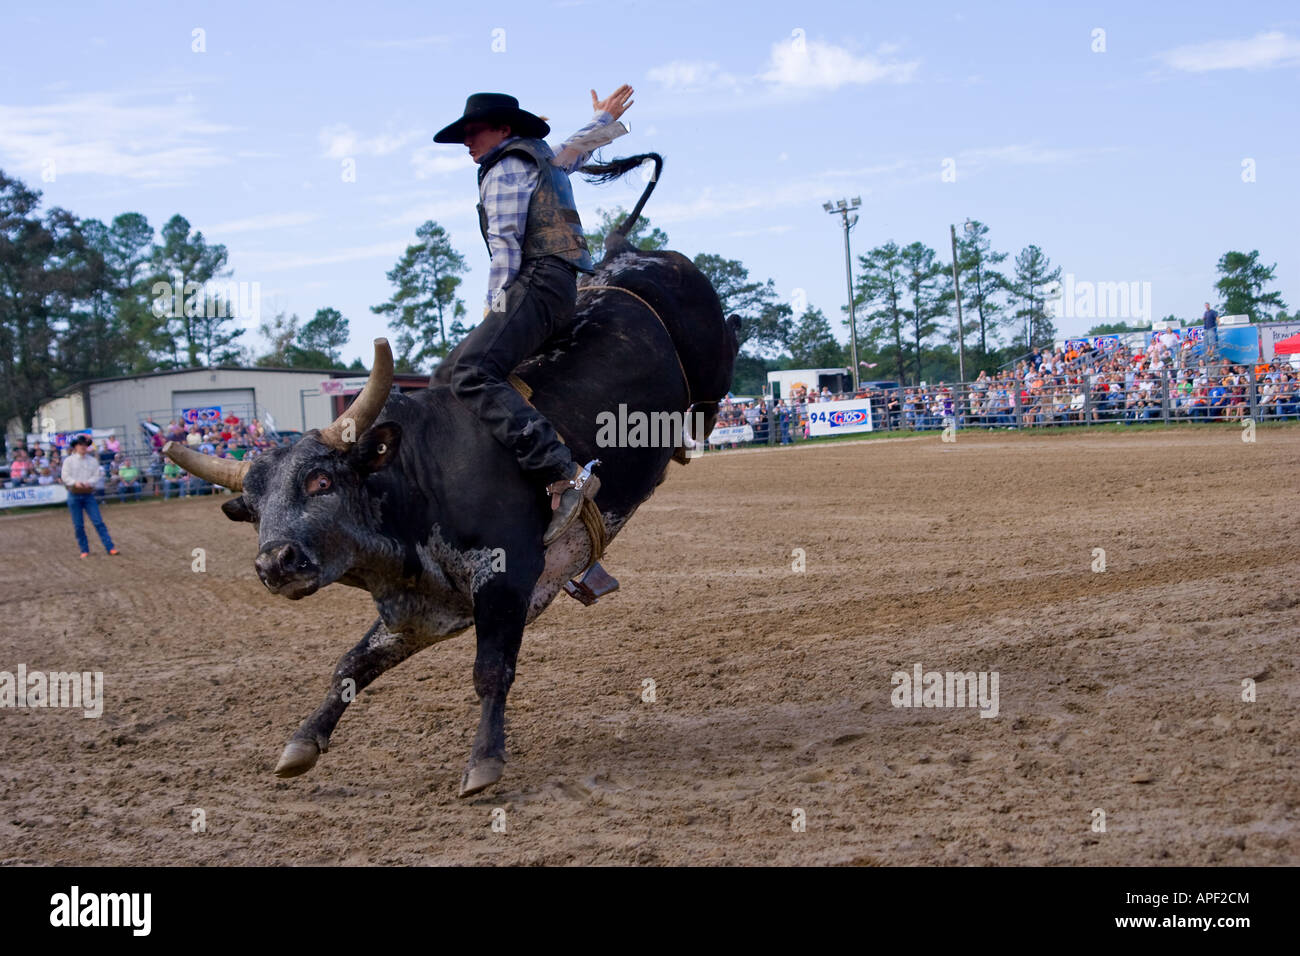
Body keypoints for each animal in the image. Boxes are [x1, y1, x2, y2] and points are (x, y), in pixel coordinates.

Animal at [172, 235, 743, 796]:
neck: (419, 479)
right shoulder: (421, 610)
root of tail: (626, 253)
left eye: (321, 481)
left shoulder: (506, 578)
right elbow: (352, 665)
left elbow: (490, 670)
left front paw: (483, 762)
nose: (275, 563)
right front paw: (302, 743)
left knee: (728, 349)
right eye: (253, 510)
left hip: (709, 366)